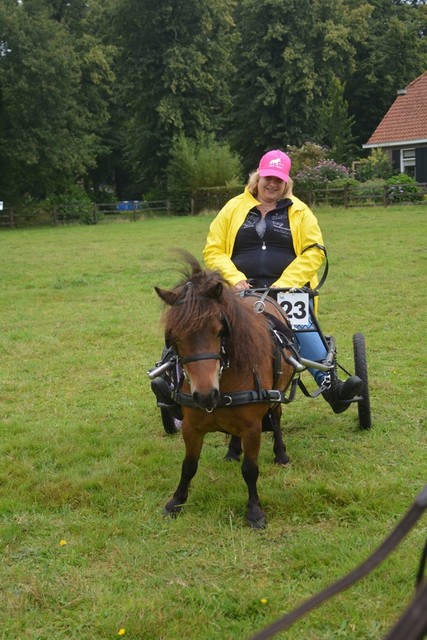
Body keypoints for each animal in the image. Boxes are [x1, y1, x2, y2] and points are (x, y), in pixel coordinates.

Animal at [155, 252, 298, 528]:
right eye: (173, 336)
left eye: (220, 330)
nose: (205, 394)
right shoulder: (191, 427)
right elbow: (188, 466)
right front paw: (176, 502)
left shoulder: (252, 427)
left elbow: (250, 470)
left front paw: (254, 511)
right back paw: (233, 451)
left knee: (276, 417)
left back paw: (281, 453)